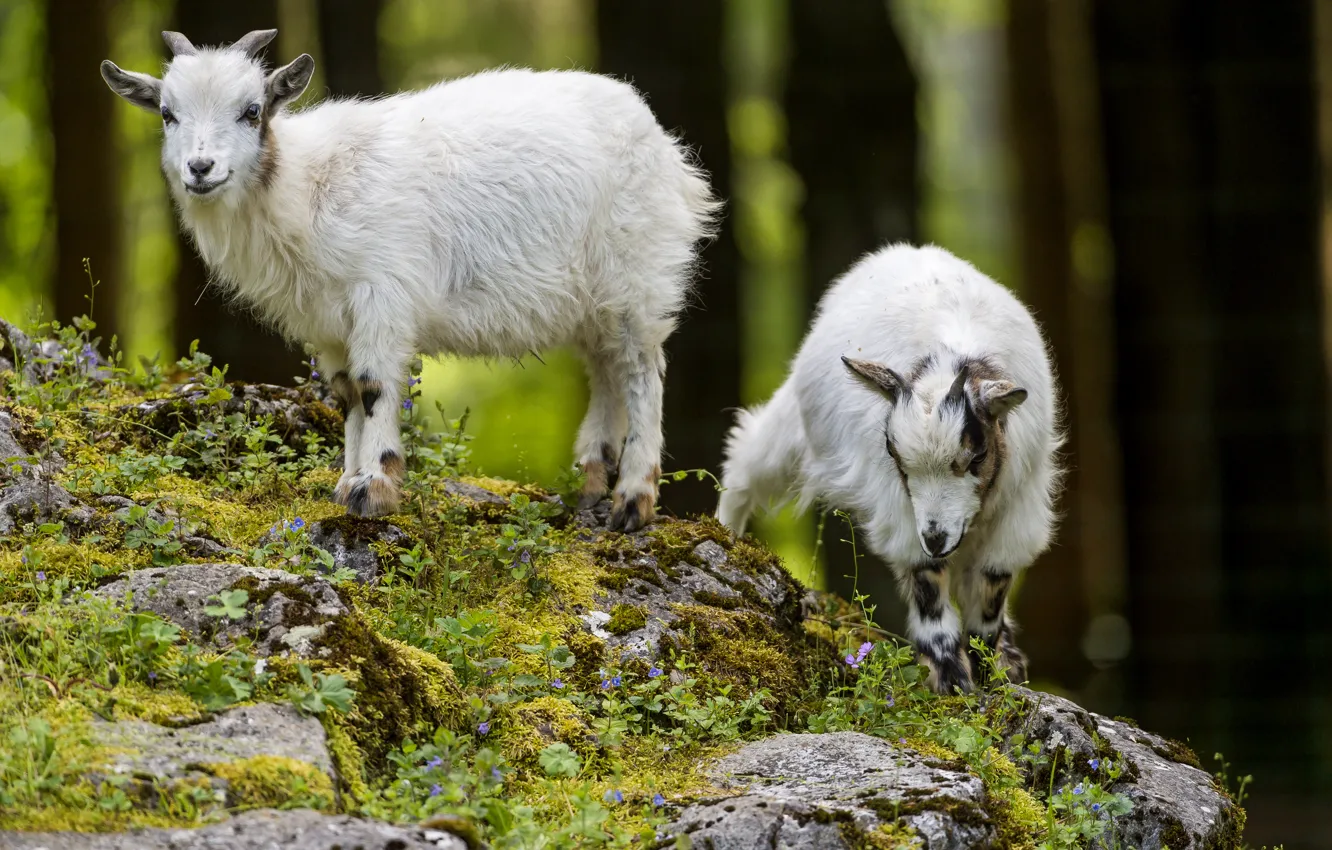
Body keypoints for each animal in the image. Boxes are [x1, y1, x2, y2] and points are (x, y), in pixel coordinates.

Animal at [100, 30, 719, 530]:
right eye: (166, 114)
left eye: (252, 110)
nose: (200, 169)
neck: (307, 184)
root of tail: (665, 148)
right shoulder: (329, 322)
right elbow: (347, 393)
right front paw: (346, 482)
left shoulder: (383, 293)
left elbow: (375, 386)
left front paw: (374, 489)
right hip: (592, 300)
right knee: (606, 371)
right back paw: (589, 482)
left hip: (637, 278)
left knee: (642, 373)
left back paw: (632, 501)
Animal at [717, 244, 1063, 693]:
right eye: (894, 453)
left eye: (977, 456)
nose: (936, 538)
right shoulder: (898, 506)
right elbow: (927, 582)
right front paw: (950, 677)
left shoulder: (1019, 506)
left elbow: (991, 590)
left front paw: (993, 669)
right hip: (794, 429)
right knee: (746, 459)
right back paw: (726, 533)